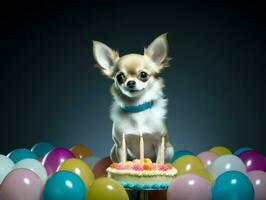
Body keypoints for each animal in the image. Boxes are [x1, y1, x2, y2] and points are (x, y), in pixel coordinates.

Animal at [92, 34, 174, 162]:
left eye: (143, 75)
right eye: (120, 77)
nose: (130, 82)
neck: (137, 107)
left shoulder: (160, 142)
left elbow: (159, 161)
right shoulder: (120, 144)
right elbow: (122, 161)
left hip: (170, 149)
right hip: (113, 151)